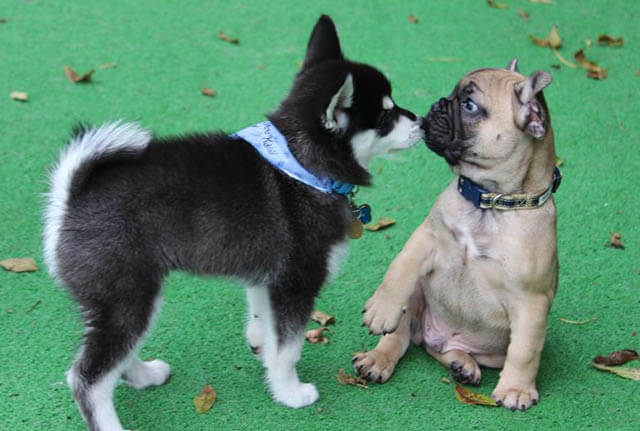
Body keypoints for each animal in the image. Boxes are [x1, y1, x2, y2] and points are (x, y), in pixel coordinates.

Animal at [41, 13, 420, 431]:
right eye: (385, 116)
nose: (420, 121)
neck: (302, 163)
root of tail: (71, 197)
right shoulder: (296, 281)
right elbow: (289, 347)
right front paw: (289, 391)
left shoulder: (267, 275)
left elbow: (263, 320)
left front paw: (261, 349)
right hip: (126, 295)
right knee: (88, 377)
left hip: (128, 297)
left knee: (116, 358)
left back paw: (145, 374)